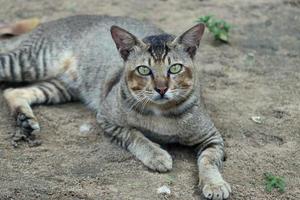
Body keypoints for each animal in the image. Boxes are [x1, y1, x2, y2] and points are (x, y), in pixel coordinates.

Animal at [0, 14, 232, 199]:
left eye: (175, 68)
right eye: (144, 70)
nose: (161, 88)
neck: (162, 114)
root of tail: (51, 22)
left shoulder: (211, 136)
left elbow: (209, 161)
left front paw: (215, 184)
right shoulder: (106, 117)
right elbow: (135, 135)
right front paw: (157, 155)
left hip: (62, 86)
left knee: (13, 91)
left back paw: (25, 121)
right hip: (30, 62)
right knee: (9, 83)